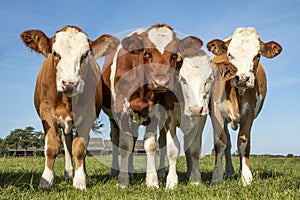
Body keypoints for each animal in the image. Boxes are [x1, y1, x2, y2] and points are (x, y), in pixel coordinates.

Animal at [19, 25, 118, 190]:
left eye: (85, 54)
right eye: (55, 53)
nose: (70, 83)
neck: (67, 100)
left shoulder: (88, 115)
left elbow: (79, 148)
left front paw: (79, 181)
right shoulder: (46, 113)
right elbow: (52, 147)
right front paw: (46, 180)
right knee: (66, 141)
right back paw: (68, 172)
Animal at [100, 23, 202, 188]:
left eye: (174, 55)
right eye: (147, 53)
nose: (161, 82)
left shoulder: (155, 110)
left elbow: (150, 144)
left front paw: (152, 180)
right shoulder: (121, 108)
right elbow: (125, 144)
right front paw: (123, 180)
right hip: (114, 117)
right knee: (116, 139)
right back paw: (116, 171)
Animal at [206, 27, 282, 186]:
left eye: (257, 55)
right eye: (229, 54)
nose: (242, 78)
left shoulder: (249, 113)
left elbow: (243, 143)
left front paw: (246, 176)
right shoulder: (216, 113)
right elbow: (220, 143)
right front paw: (217, 177)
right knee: (228, 142)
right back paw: (229, 171)